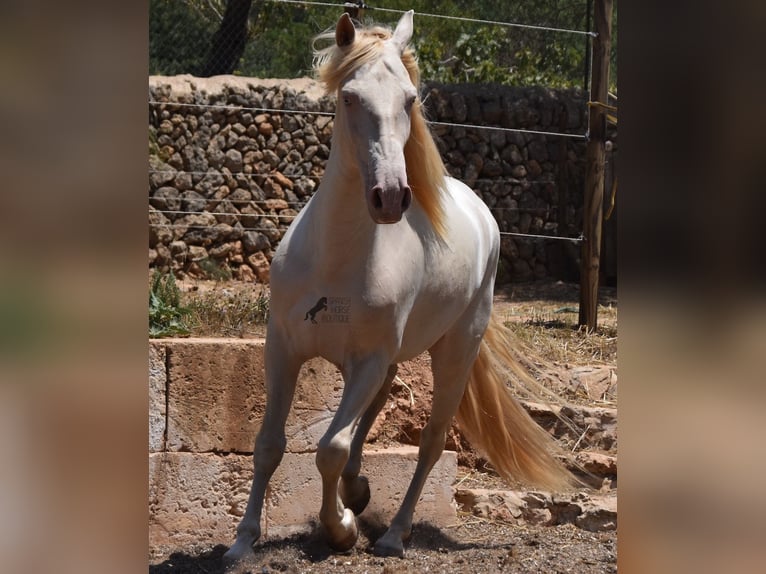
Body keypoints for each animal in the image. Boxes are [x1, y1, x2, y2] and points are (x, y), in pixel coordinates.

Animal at [225, 11, 572, 564]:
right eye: (349, 97)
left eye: (409, 98)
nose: (389, 196)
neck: (337, 260)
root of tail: (479, 208)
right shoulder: (282, 347)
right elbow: (268, 444)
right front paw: (242, 541)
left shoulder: (367, 360)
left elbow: (329, 447)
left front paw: (340, 529)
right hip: (384, 360)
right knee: (373, 413)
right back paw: (358, 491)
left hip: (454, 351)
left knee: (430, 440)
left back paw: (392, 533)